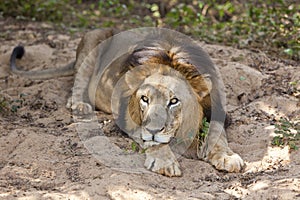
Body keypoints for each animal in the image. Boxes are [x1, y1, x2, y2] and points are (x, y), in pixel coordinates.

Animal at [10, 27, 244, 177]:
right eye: (144, 99)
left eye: (174, 101)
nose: (153, 130)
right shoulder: (128, 118)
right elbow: (154, 143)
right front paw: (164, 162)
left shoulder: (218, 112)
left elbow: (218, 135)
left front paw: (227, 157)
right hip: (92, 44)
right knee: (77, 82)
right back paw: (80, 105)